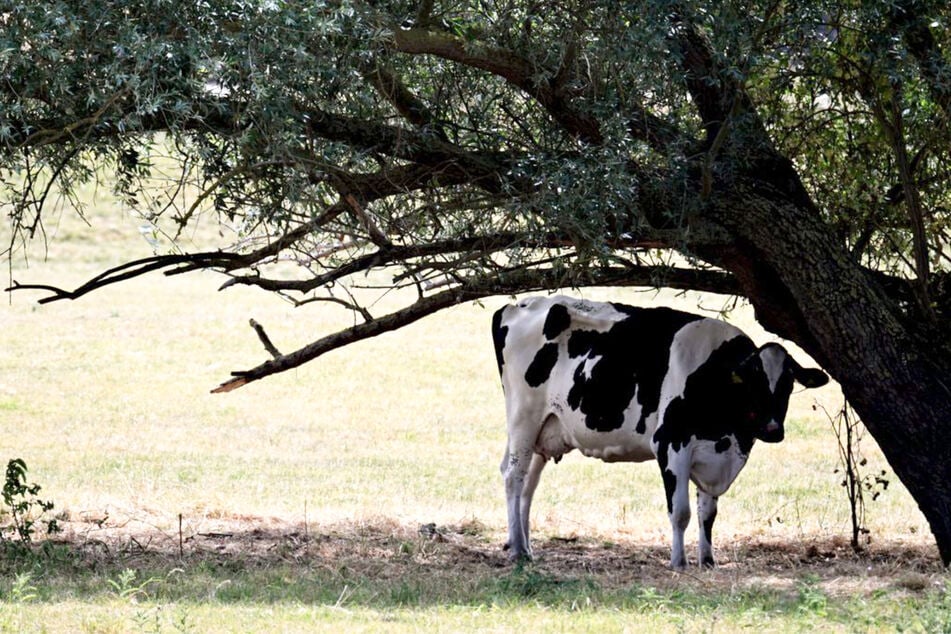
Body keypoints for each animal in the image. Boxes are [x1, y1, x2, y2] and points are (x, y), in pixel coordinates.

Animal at [492, 295, 829, 569]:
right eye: (752, 381)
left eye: (788, 384)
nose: (772, 429)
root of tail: (517, 305)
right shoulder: (671, 445)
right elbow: (680, 512)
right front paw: (679, 562)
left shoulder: (715, 456)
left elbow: (708, 513)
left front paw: (708, 560)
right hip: (523, 418)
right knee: (513, 477)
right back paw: (516, 550)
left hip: (545, 430)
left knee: (528, 485)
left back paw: (525, 547)